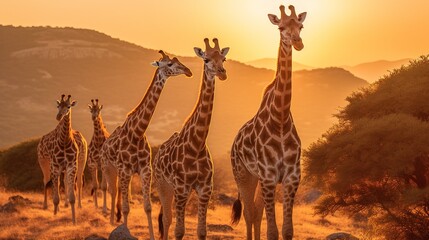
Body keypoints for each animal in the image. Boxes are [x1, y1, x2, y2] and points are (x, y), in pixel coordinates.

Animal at [37, 94, 87, 225]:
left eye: (68, 106)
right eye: (58, 106)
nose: (58, 116)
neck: (64, 141)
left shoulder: (71, 166)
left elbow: (72, 196)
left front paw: (74, 221)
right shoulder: (55, 166)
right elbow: (55, 197)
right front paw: (55, 215)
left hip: (79, 162)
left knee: (67, 183)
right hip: (44, 163)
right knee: (46, 182)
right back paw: (46, 206)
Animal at [100, 50, 191, 238]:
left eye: (177, 60)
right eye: (169, 64)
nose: (188, 71)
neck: (138, 132)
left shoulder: (145, 169)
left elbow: (147, 207)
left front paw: (152, 236)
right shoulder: (125, 169)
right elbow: (126, 208)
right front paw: (124, 231)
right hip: (108, 167)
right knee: (112, 191)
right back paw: (111, 220)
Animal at [153, 38, 229, 240]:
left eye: (223, 59)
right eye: (206, 59)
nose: (222, 73)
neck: (197, 145)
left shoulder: (205, 189)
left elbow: (202, 231)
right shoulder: (181, 188)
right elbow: (179, 230)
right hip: (162, 184)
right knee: (166, 219)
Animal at [229, 5, 306, 240]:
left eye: (301, 26)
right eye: (281, 27)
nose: (298, 42)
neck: (279, 120)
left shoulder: (291, 177)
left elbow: (287, 230)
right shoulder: (269, 176)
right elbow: (272, 231)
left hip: (257, 179)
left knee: (255, 212)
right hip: (243, 175)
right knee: (248, 213)